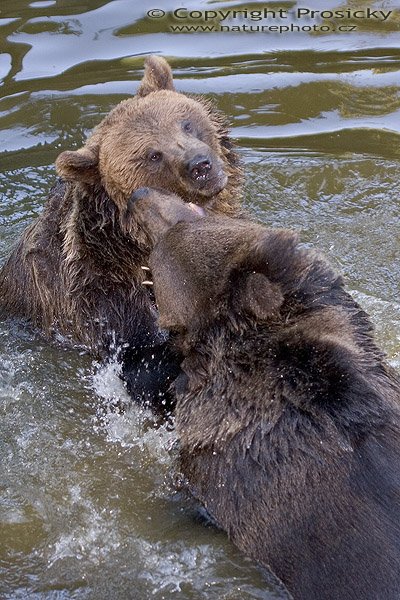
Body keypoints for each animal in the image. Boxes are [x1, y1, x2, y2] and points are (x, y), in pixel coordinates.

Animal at [0, 57, 241, 408]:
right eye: (152, 155)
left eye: (185, 123)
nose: (200, 165)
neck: (131, 244)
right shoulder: (98, 294)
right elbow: (143, 358)